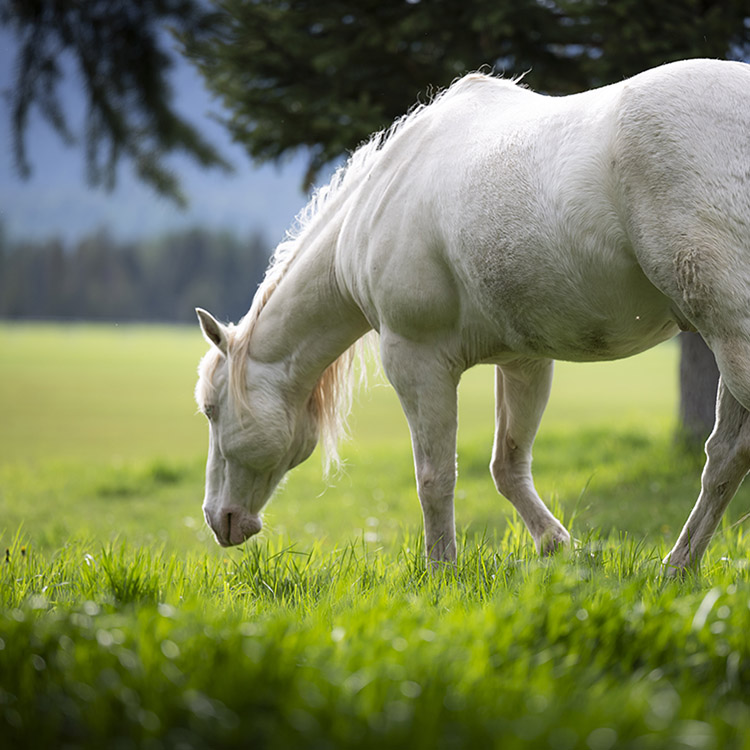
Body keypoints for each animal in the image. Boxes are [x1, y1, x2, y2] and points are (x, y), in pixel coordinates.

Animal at [197, 60, 750, 576]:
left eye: (210, 409)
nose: (220, 519)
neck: (378, 203)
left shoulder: (416, 363)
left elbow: (435, 478)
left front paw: (441, 572)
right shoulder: (525, 361)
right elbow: (508, 465)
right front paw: (555, 545)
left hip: (731, 336)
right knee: (724, 458)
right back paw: (678, 567)